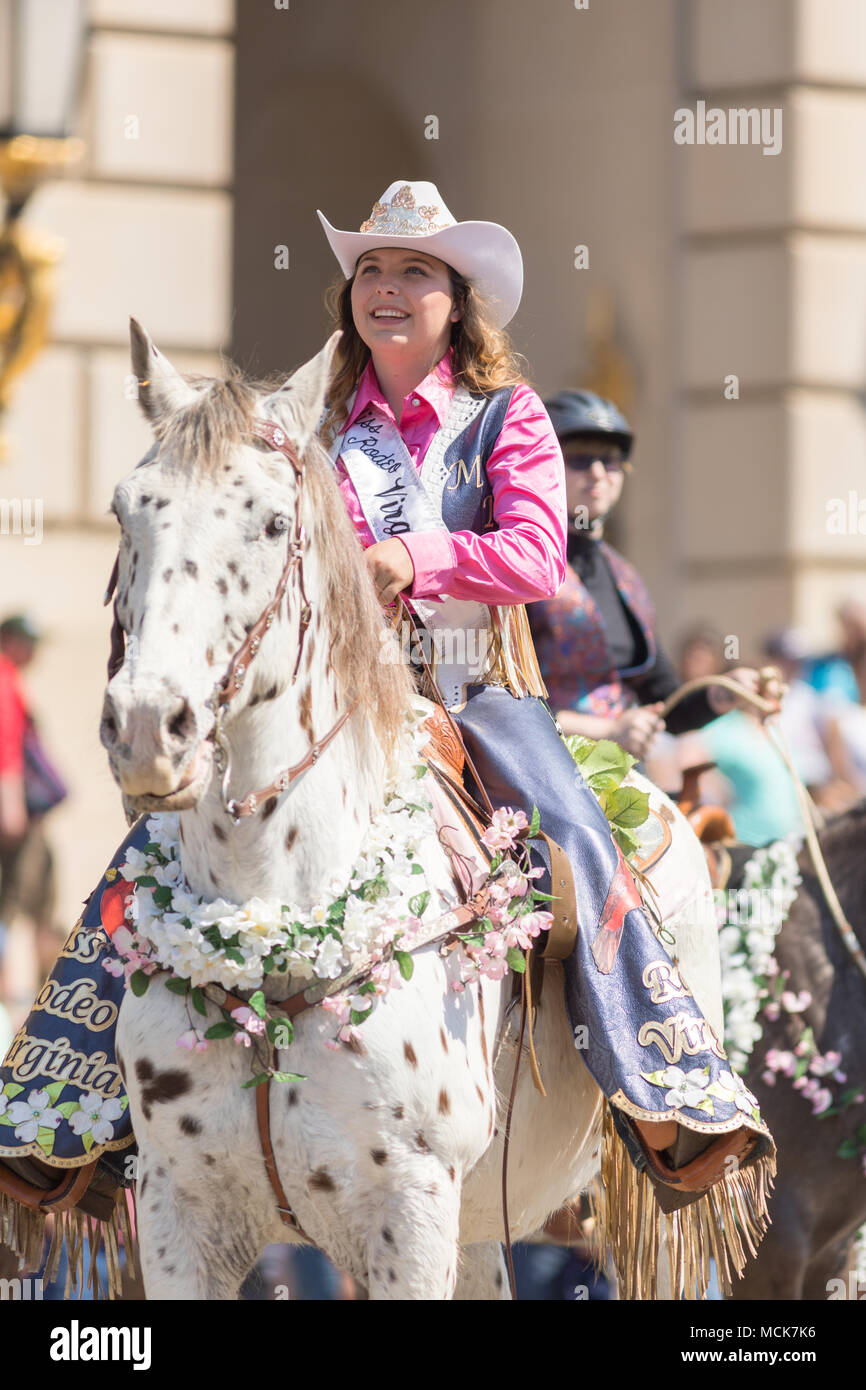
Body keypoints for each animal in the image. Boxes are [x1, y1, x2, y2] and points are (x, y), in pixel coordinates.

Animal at [104, 319, 722, 1295]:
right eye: (126, 510)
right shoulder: (178, 1210)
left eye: (272, 521)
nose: (142, 727)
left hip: (652, 1229)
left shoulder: (411, 1210)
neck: (273, 938)